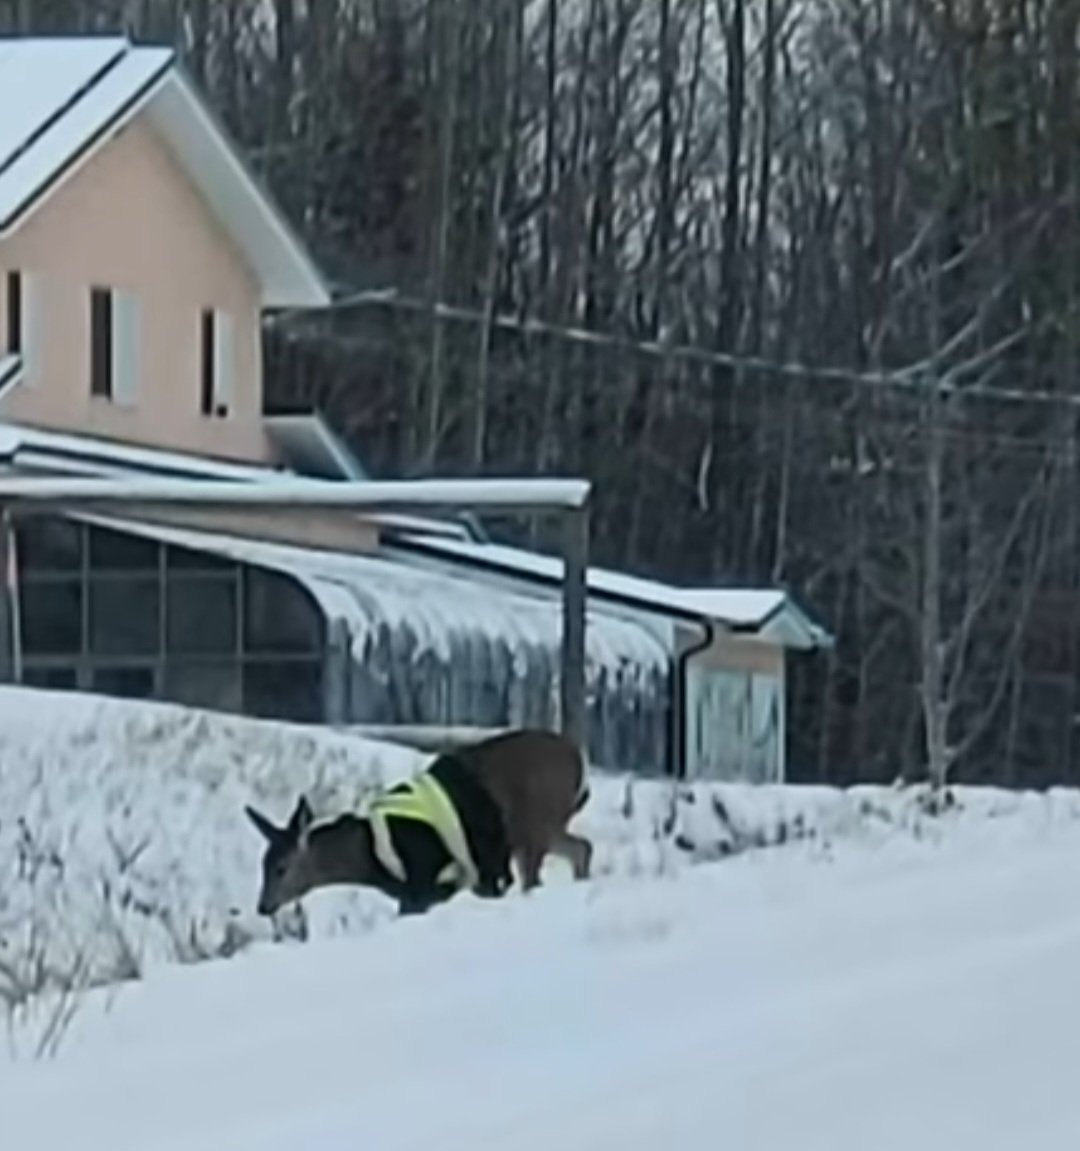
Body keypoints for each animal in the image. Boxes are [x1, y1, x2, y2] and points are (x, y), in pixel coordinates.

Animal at [242, 727, 589, 916]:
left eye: (281, 867)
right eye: (262, 863)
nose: (263, 906)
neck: (369, 855)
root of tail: (578, 760)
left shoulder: (426, 876)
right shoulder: (429, 890)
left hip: (536, 821)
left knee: (537, 876)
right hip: (541, 829)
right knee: (582, 848)